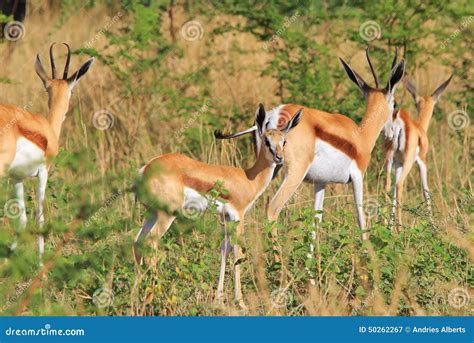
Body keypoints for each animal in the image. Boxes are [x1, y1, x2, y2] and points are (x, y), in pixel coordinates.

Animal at [0, 43, 94, 260]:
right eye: (72, 91)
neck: (47, 128)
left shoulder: (17, 177)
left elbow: (23, 221)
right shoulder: (43, 173)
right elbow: (39, 218)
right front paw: (41, 263)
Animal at [135, 105, 302, 310]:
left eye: (283, 141)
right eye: (267, 140)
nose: (279, 158)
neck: (248, 179)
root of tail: (146, 169)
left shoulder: (225, 218)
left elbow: (225, 249)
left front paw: (218, 298)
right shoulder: (239, 216)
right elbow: (238, 251)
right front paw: (241, 303)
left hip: (151, 215)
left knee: (137, 242)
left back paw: (136, 295)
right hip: (165, 216)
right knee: (149, 243)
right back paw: (157, 298)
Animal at [217, 49, 406, 247]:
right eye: (394, 104)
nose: (391, 133)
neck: (360, 136)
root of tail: (274, 114)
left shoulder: (320, 183)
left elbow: (316, 221)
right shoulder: (357, 177)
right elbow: (361, 218)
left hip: (269, 169)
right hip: (294, 172)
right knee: (272, 209)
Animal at [382, 75, 452, 226]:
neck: (420, 127)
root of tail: (399, 121)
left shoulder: (398, 164)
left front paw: (390, 224)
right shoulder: (422, 162)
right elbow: (426, 190)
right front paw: (433, 226)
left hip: (389, 160)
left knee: (388, 185)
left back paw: (384, 224)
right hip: (408, 162)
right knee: (399, 185)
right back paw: (400, 227)